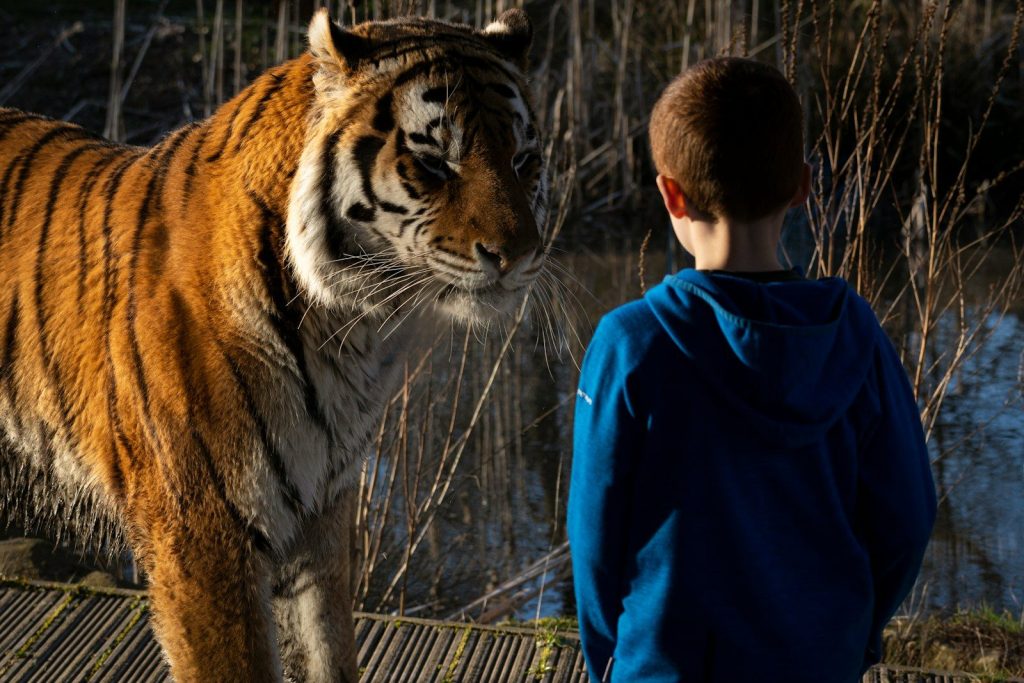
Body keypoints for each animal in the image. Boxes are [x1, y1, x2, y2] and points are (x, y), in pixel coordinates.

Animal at [0, 8, 546, 682]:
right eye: (434, 165)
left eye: (525, 160)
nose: (519, 255)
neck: (354, 329)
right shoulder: (202, 532)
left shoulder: (319, 509)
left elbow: (327, 649)